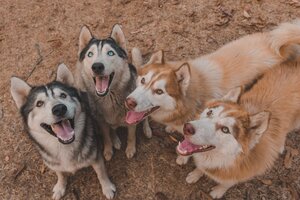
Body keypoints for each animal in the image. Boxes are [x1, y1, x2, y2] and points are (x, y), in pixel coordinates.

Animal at [9, 64, 115, 200]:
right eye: (39, 103)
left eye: (63, 95)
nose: (59, 108)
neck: (64, 146)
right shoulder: (54, 164)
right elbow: (60, 174)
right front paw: (60, 187)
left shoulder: (96, 157)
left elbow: (101, 173)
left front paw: (107, 187)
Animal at [74, 24, 150, 160]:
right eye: (90, 54)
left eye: (110, 53)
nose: (97, 66)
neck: (109, 98)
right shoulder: (102, 122)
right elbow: (106, 137)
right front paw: (108, 149)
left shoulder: (131, 120)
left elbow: (131, 136)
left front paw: (130, 149)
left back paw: (147, 129)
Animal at [125, 19, 300, 164]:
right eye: (143, 80)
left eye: (159, 91)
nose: (129, 102)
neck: (191, 101)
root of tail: (279, 47)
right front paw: (170, 129)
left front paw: (183, 158)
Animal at [176, 59, 300, 198]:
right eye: (210, 112)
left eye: (225, 129)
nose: (187, 127)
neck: (228, 159)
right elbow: (200, 168)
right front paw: (196, 174)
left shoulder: (240, 174)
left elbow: (227, 183)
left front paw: (218, 191)